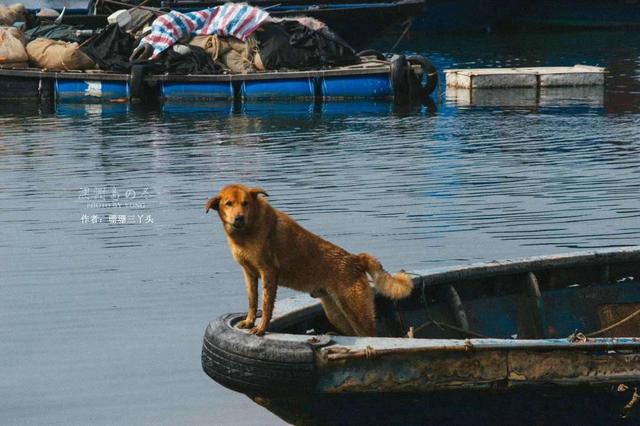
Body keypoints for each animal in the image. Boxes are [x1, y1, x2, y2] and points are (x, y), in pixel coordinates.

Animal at [206, 184, 416, 336]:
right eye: (228, 204)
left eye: (246, 203)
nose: (239, 218)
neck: (246, 233)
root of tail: (357, 259)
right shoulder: (249, 273)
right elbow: (252, 301)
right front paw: (250, 322)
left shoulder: (269, 272)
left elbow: (266, 306)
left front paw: (261, 328)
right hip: (337, 315)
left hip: (356, 312)